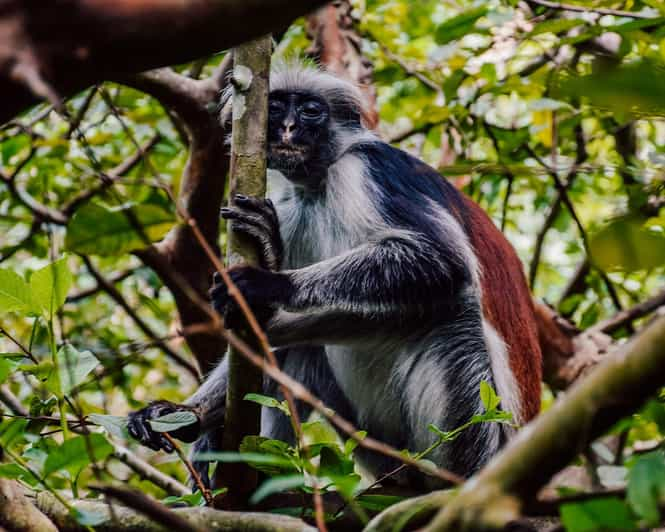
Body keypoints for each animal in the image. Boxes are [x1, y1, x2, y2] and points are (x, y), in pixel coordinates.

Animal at [127, 61, 544, 486]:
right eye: (276, 109)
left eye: (311, 111)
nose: (289, 128)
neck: (318, 182)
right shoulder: (289, 210)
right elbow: (272, 322)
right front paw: (184, 416)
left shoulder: (367, 169)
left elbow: (443, 260)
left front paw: (270, 283)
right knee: (302, 338)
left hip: (479, 431)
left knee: (452, 311)